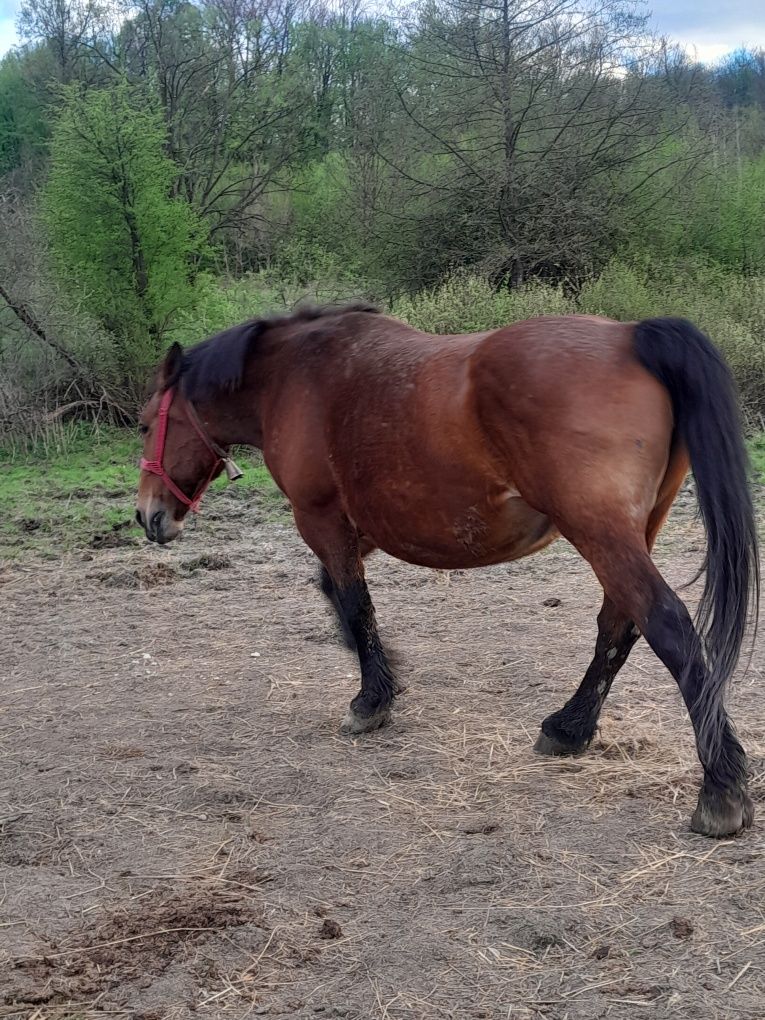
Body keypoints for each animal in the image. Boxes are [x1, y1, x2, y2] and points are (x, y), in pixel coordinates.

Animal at [133, 299, 762, 836]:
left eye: (143, 424)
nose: (148, 516)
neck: (297, 377)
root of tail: (631, 335)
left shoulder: (323, 521)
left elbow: (353, 603)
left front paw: (371, 701)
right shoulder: (361, 531)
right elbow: (338, 598)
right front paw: (388, 677)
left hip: (601, 533)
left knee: (667, 625)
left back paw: (720, 790)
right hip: (631, 532)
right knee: (620, 623)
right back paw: (570, 728)